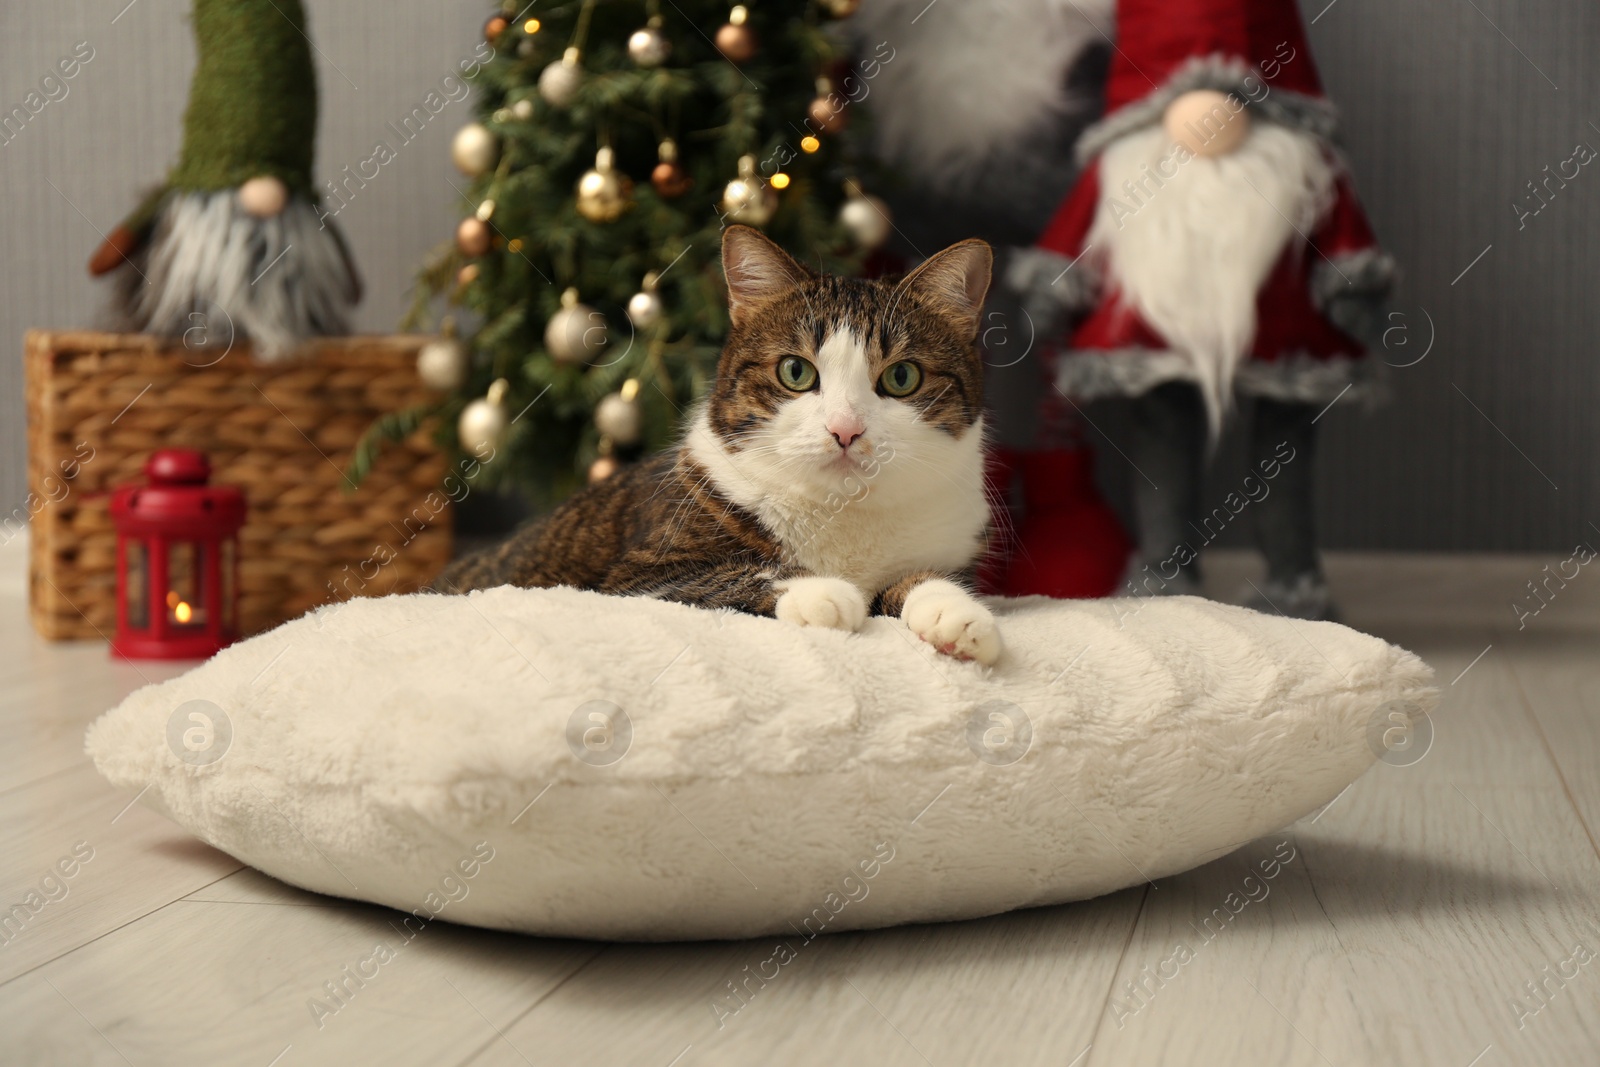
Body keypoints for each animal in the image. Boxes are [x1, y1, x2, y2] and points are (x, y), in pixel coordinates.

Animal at [441, 223, 998, 662]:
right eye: (796, 371)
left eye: (902, 377)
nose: (845, 429)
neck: (845, 512)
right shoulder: (637, 577)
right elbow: (726, 576)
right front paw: (823, 593)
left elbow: (919, 578)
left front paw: (957, 612)